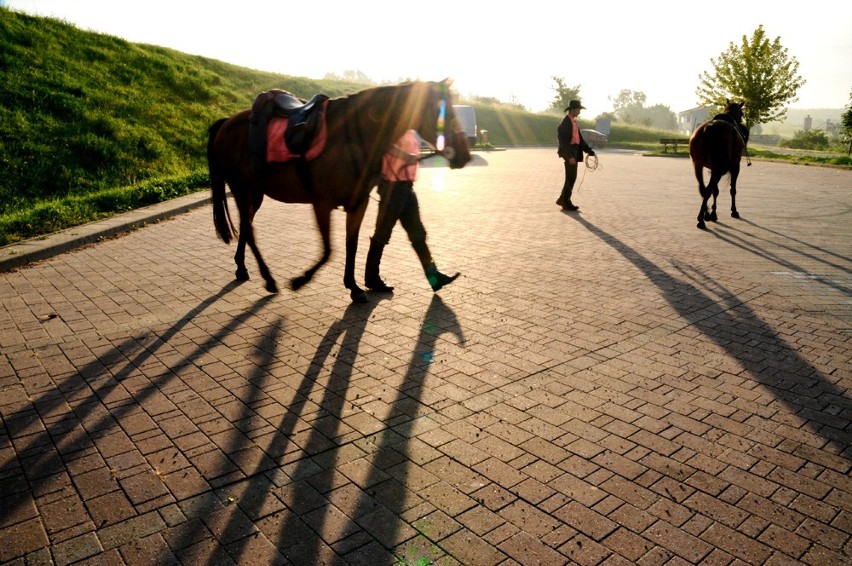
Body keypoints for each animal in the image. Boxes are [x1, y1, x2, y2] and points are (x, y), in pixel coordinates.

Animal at [207, 80, 472, 304]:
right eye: (440, 111)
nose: (464, 153)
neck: (351, 136)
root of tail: (227, 122)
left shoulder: (358, 203)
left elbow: (350, 245)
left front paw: (354, 287)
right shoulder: (322, 204)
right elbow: (329, 249)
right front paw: (301, 280)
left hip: (255, 193)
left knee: (246, 227)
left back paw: (242, 268)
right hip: (241, 188)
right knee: (249, 231)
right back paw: (268, 278)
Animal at [688, 100, 748, 231]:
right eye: (741, 113)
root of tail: (707, 129)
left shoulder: (713, 169)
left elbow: (715, 190)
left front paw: (713, 213)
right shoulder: (735, 167)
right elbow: (732, 189)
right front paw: (733, 211)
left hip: (698, 165)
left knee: (703, 189)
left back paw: (704, 215)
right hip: (720, 168)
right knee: (707, 190)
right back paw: (702, 219)